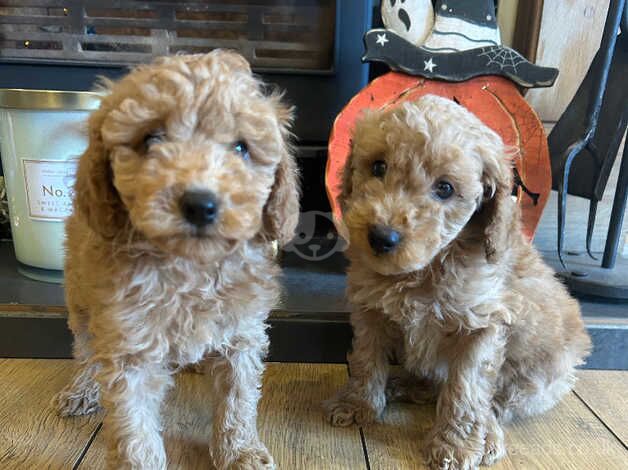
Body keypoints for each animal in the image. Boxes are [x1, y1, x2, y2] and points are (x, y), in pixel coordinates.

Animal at [53, 49, 300, 468]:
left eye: (240, 148)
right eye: (151, 139)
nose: (200, 204)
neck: (190, 268)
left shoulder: (242, 333)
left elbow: (238, 400)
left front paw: (241, 452)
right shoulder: (128, 346)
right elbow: (134, 429)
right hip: (80, 298)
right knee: (84, 349)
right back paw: (81, 390)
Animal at [326, 95, 592, 470]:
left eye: (445, 189)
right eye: (378, 167)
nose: (381, 237)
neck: (426, 267)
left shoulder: (484, 325)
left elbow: (466, 387)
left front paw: (456, 444)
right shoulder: (370, 311)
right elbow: (367, 358)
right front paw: (358, 404)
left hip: (540, 372)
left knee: (497, 403)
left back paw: (488, 435)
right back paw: (408, 385)